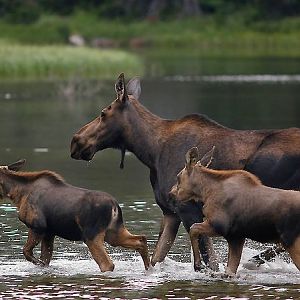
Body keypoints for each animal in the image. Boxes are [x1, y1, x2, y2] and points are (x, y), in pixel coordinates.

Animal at [0, 159, 150, 272]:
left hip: (91, 236)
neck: (17, 194)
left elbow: (27, 252)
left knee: (107, 264)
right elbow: (45, 259)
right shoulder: (49, 232)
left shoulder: (37, 226)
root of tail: (115, 206)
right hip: (113, 233)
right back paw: (149, 268)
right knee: (141, 239)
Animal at [170, 146, 300, 276]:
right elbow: (230, 271)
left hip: (292, 242)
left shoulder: (219, 227)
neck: (206, 192)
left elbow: (193, 229)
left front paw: (198, 264)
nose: (170, 195)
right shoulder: (236, 238)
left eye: (178, 177)